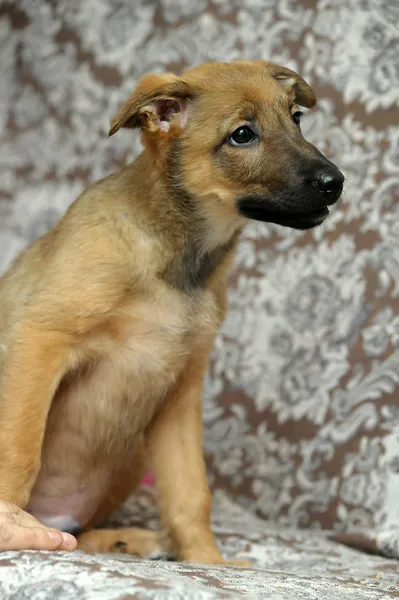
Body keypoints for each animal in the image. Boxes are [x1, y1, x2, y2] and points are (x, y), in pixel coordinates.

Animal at [0, 63, 344, 564]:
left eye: (296, 117)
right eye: (242, 135)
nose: (335, 182)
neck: (177, 264)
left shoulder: (181, 390)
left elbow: (190, 492)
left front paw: (208, 561)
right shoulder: (41, 338)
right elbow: (19, 452)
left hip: (133, 454)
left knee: (76, 531)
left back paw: (124, 540)